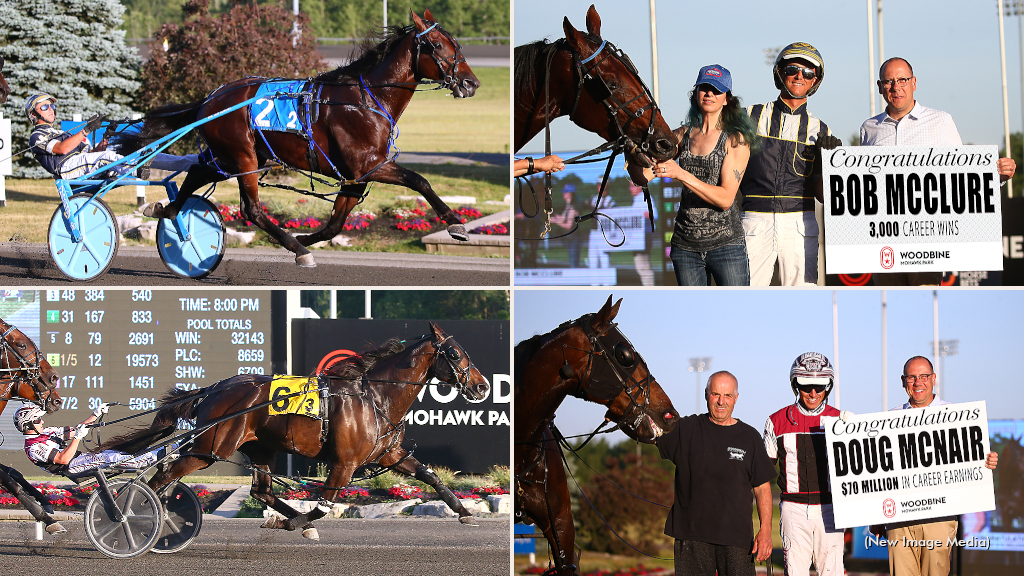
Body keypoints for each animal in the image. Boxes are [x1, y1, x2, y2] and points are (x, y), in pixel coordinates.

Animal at [0, 315, 63, 532]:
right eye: (21, 344)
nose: (54, 377)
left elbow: (13, 472)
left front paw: (44, 502)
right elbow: (10, 482)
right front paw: (46, 518)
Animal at [97, 323, 489, 537]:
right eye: (455, 353)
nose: (483, 386)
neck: (374, 396)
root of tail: (214, 389)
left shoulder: (388, 454)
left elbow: (430, 476)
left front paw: (464, 511)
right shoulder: (344, 463)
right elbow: (324, 505)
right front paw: (295, 523)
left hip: (259, 448)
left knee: (262, 491)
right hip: (208, 449)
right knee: (161, 478)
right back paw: (130, 521)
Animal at [117, 10, 477, 266]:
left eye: (457, 44)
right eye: (438, 46)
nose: (471, 83)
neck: (366, 100)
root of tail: (209, 99)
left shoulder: (355, 176)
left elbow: (335, 225)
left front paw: (303, 239)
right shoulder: (368, 165)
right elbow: (419, 180)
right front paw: (455, 224)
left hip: (234, 156)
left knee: (195, 172)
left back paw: (167, 211)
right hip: (243, 156)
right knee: (251, 209)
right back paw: (295, 249)